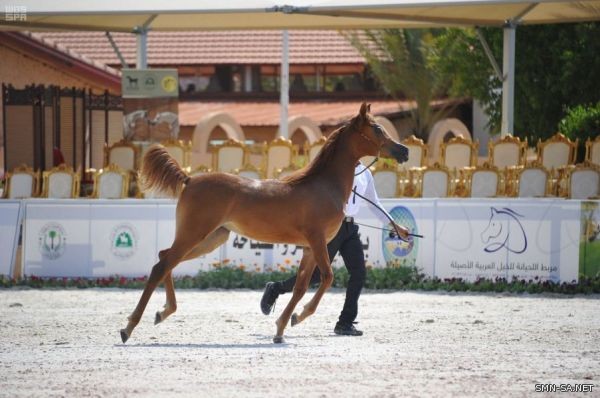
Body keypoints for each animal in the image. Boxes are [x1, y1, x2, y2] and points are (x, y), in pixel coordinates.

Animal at [122, 104, 410, 344]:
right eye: (376, 128)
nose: (404, 150)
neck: (324, 186)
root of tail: (190, 179)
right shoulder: (317, 241)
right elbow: (327, 278)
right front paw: (299, 317)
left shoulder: (309, 248)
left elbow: (301, 286)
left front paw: (282, 327)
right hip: (195, 234)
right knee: (162, 265)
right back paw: (129, 327)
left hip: (211, 238)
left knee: (165, 258)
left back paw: (163, 312)